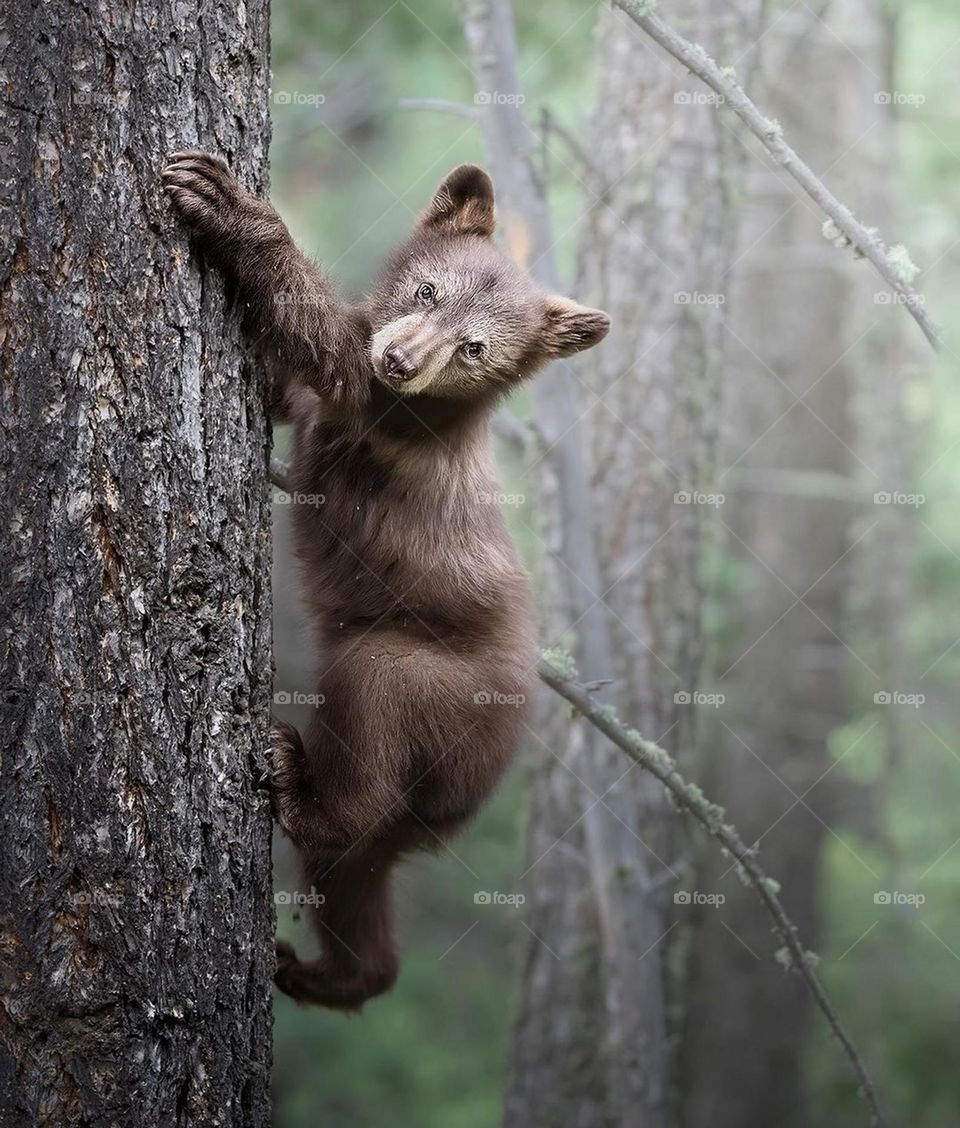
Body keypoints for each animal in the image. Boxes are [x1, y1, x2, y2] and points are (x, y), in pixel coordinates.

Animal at [163, 150, 610, 1010]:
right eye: (427, 289)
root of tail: (477, 787)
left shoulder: (386, 416)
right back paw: (332, 974)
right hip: (405, 819)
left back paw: (293, 777)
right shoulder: (337, 401)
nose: (401, 358)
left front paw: (228, 205)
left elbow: (330, 344)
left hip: (421, 678)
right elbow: (293, 386)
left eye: (475, 349)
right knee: (358, 874)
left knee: (363, 764)